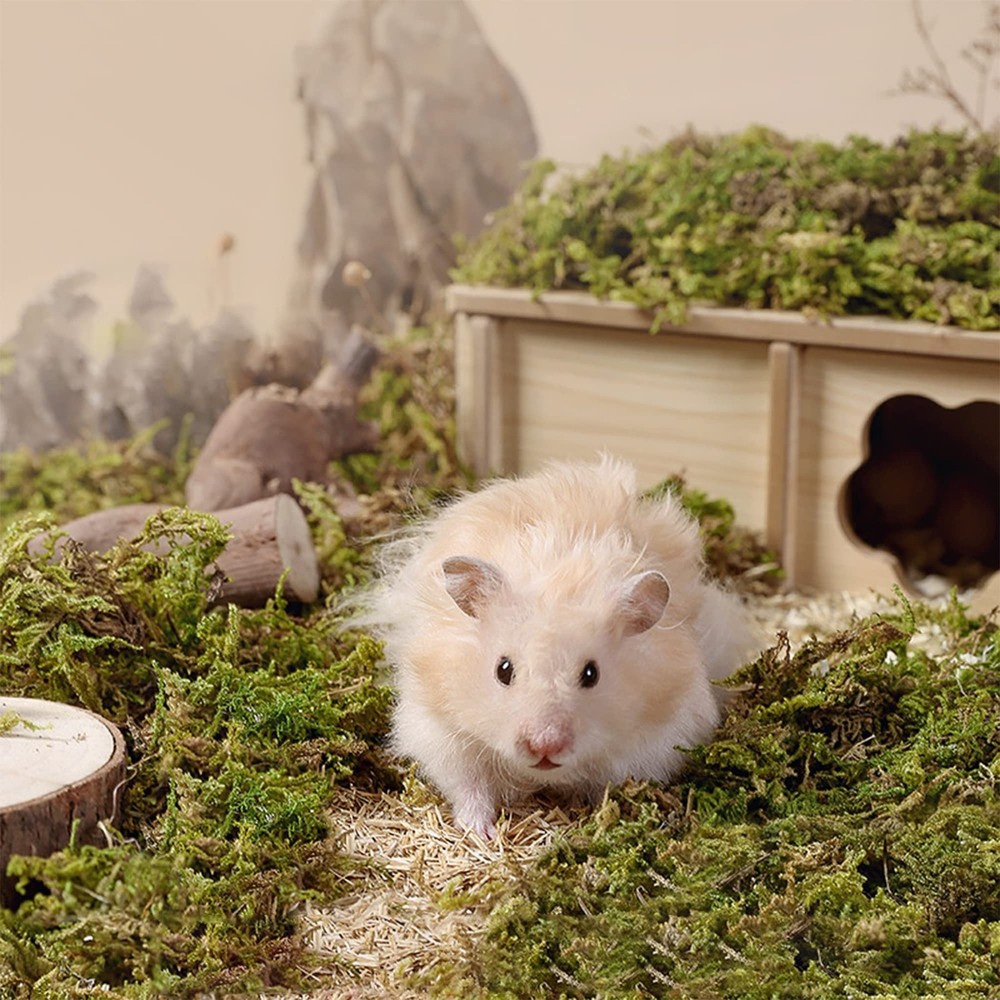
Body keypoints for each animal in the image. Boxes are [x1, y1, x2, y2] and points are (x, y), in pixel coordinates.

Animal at [360, 455, 754, 839]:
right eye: (503, 670)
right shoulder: (440, 730)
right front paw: (481, 833)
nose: (544, 746)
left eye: (591, 674)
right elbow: (468, 786)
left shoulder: (658, 740)